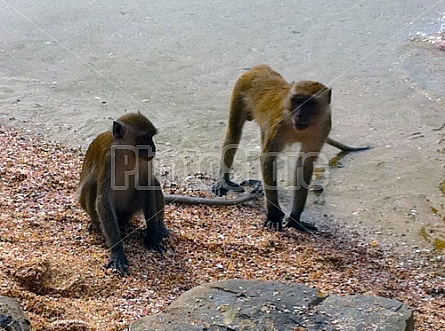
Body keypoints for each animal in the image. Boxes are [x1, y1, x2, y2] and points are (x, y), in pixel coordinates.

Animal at [77, 113, 167, 274]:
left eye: (151, 137)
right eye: (144, 138)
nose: (153, 148)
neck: (129, 153)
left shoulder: (145, 161)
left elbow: (147, 186)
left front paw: (152, 236)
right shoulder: (109, 160)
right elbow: (103, 200)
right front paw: (117, 251)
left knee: (153, 182)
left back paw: (159, 225)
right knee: (92, 184)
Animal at [210, 65, 370, 233]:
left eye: (309, 103)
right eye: (297, 101)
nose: (299, 115)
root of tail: (260, 67)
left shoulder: (324, 126)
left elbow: (305, 163)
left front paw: (295, 218)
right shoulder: (279, 124)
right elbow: (268, 158)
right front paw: (274, 214)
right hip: (240, 89)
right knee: (234, 133)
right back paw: (224, 180)